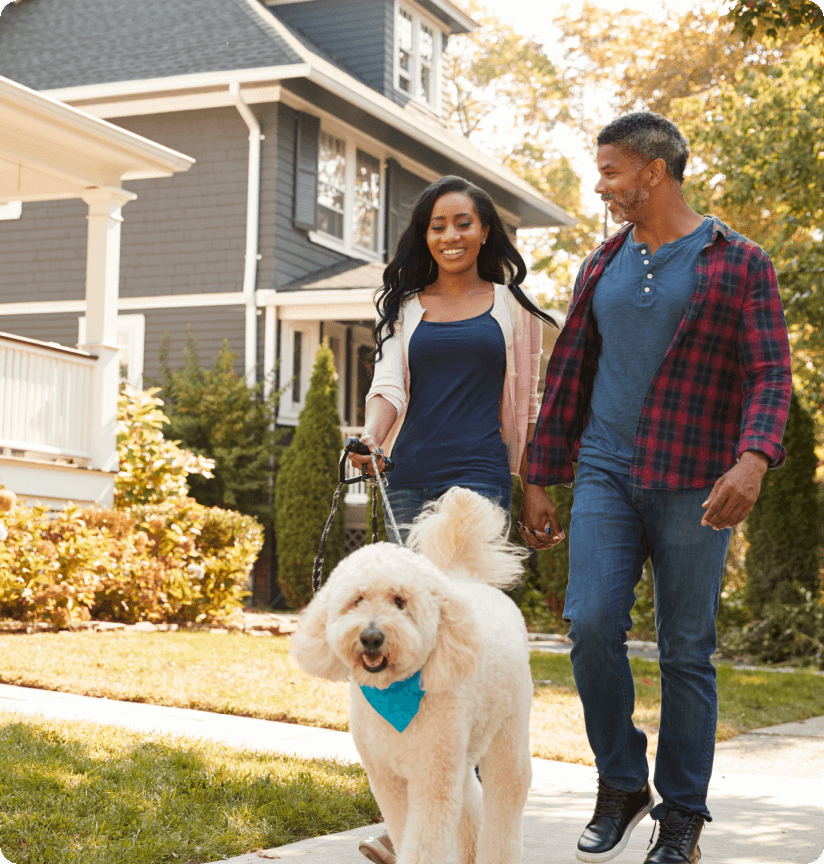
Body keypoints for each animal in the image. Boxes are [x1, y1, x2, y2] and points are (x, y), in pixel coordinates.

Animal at [290, 490, 536, 860]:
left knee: (506, 801)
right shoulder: (387, 778)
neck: (393, 694)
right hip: (460, 753)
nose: (371, 637)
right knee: (470, 801)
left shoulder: (431, 780)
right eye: (357, 599)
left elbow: (423, 844)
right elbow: (403, 829)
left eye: (400, 601)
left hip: (507, 733)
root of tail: (469, 580)